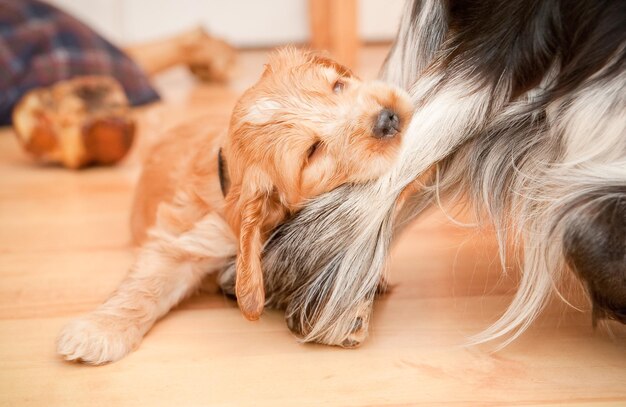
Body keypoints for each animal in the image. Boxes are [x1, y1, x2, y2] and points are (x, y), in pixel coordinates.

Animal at [54, 49, 414, 364]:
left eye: (338, 86)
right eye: (313, 151)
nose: (387, 117)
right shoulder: (187, 238)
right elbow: (145, 286)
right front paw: (98, 331)